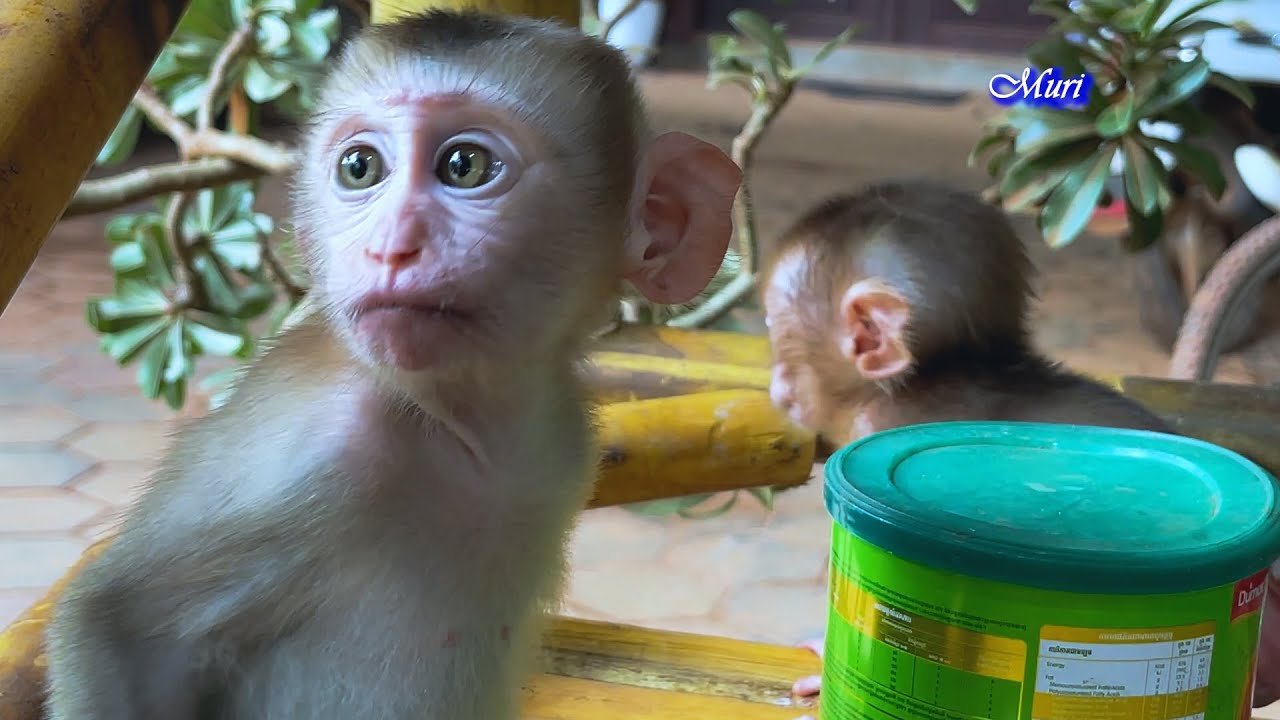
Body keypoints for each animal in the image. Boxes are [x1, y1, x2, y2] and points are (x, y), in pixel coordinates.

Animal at [42, 11, 741, 720]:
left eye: (465, 165)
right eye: (360, 168)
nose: (389, 247)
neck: (460, 424)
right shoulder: (322, 444)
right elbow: (115, 623)